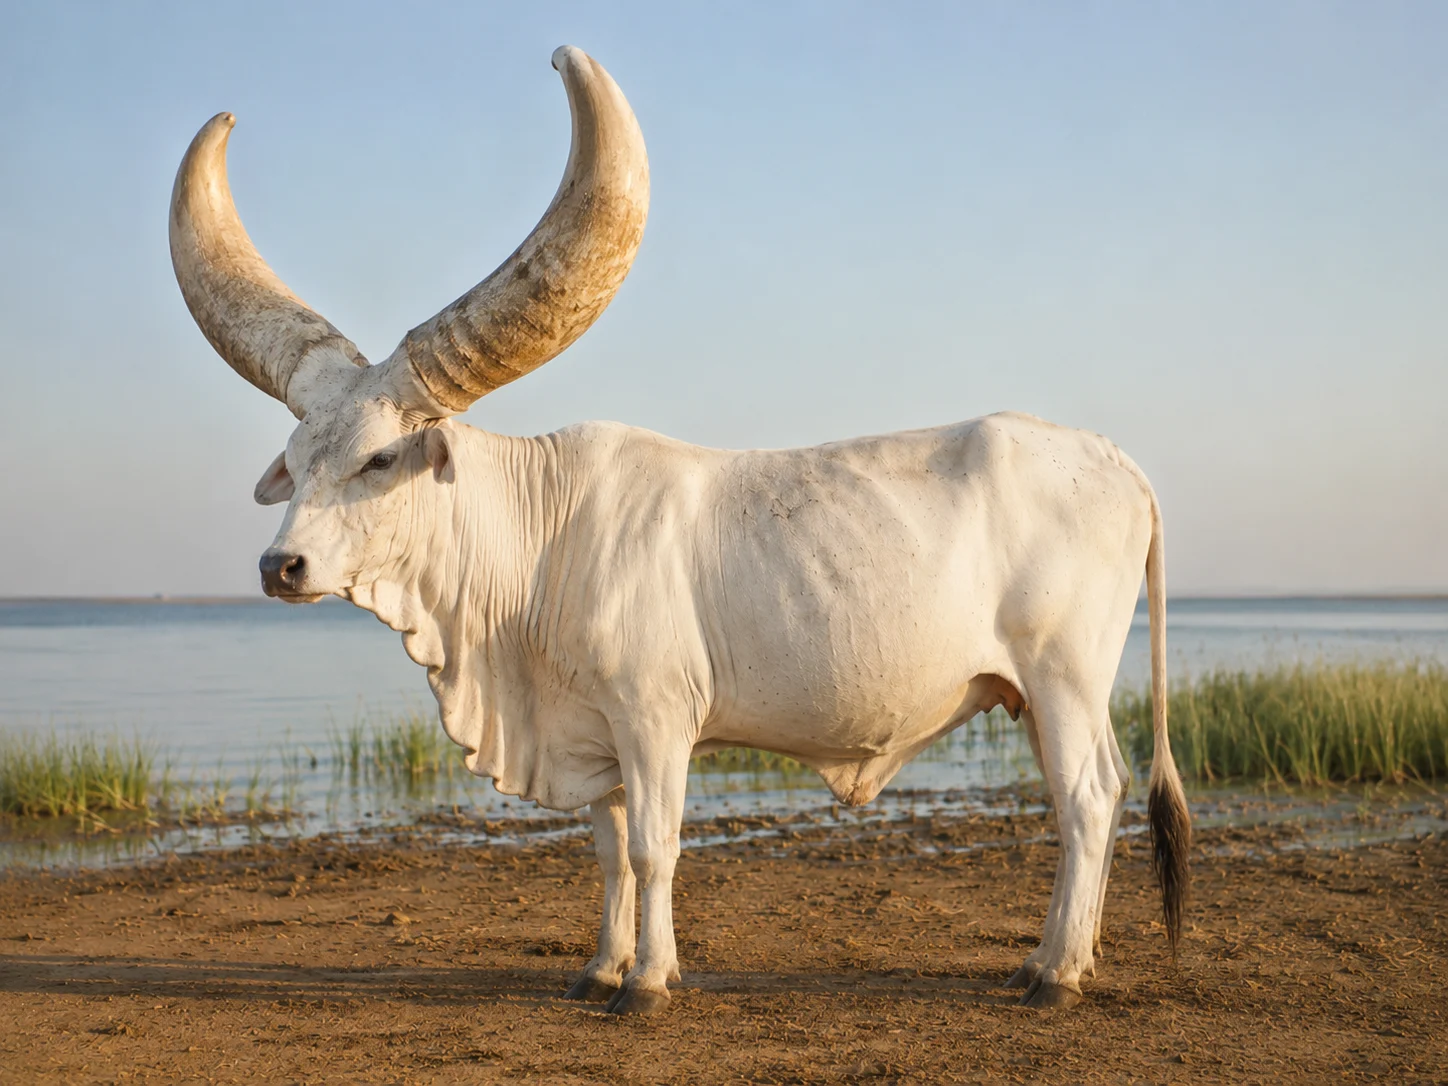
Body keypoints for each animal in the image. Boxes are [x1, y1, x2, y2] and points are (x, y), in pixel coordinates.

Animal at [169, 45, 1190, 1015]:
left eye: (380, 458)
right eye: (294, 457)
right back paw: (1062, 958)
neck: (532, 552)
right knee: (1093, 793)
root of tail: (1114, 459)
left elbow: (655, 849)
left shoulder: (656, 719)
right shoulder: (596, 736)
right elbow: (610, 852)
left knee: (1087, 800)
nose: (281, 565)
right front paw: (597, 970)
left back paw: (1057, 973)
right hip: (1039, 694)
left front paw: (649, 983)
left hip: (1062, 676)